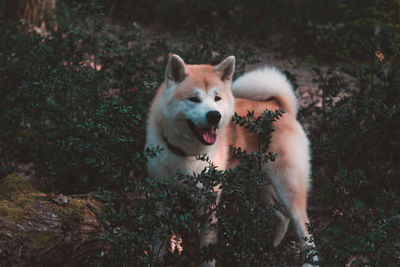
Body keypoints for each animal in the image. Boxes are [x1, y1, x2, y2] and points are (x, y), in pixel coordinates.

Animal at [145, 54, 318, 266]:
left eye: (217, 98)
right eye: (193, 99)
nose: (214, 115)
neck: (187, 153)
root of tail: (280, 107)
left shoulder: (209, 200)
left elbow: (208, 248)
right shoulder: (161, 195)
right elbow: (158, 236)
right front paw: (155, 259)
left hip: (288, 187)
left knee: (306, 232)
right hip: (262, 186)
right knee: (281, 217)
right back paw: (271, 246)